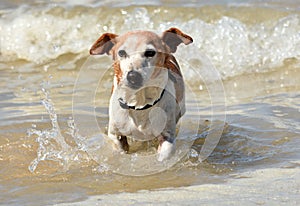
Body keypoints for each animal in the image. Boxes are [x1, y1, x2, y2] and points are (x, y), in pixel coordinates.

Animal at [89, 27, 192, 161]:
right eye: (121, 52)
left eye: (150, 52)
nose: (133, 76)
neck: (139, 103)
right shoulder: (115, 134)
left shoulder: (167, 135)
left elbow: (164, 154)